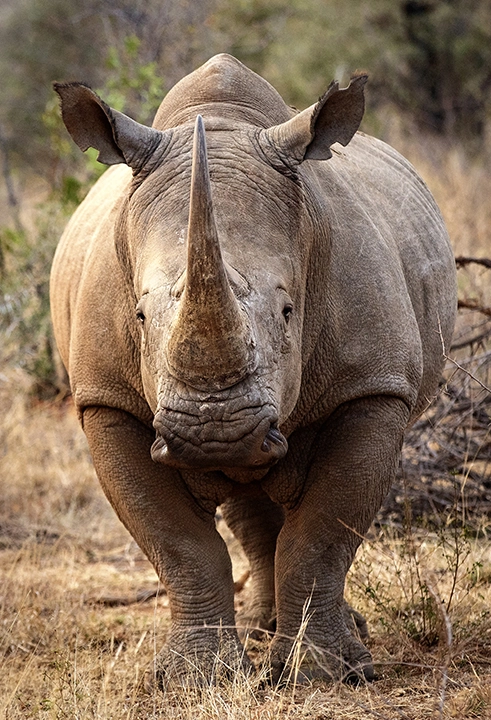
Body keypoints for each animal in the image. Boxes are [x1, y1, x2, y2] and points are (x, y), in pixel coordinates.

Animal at [50, 53, 457, 686]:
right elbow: (179, 544)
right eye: (138, 316)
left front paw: (328, 674)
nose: (214, 432)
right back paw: (264, 629)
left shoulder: (372, 388)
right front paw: (196, 678)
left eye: (289, 311)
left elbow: (324, 532)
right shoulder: (105, 398)